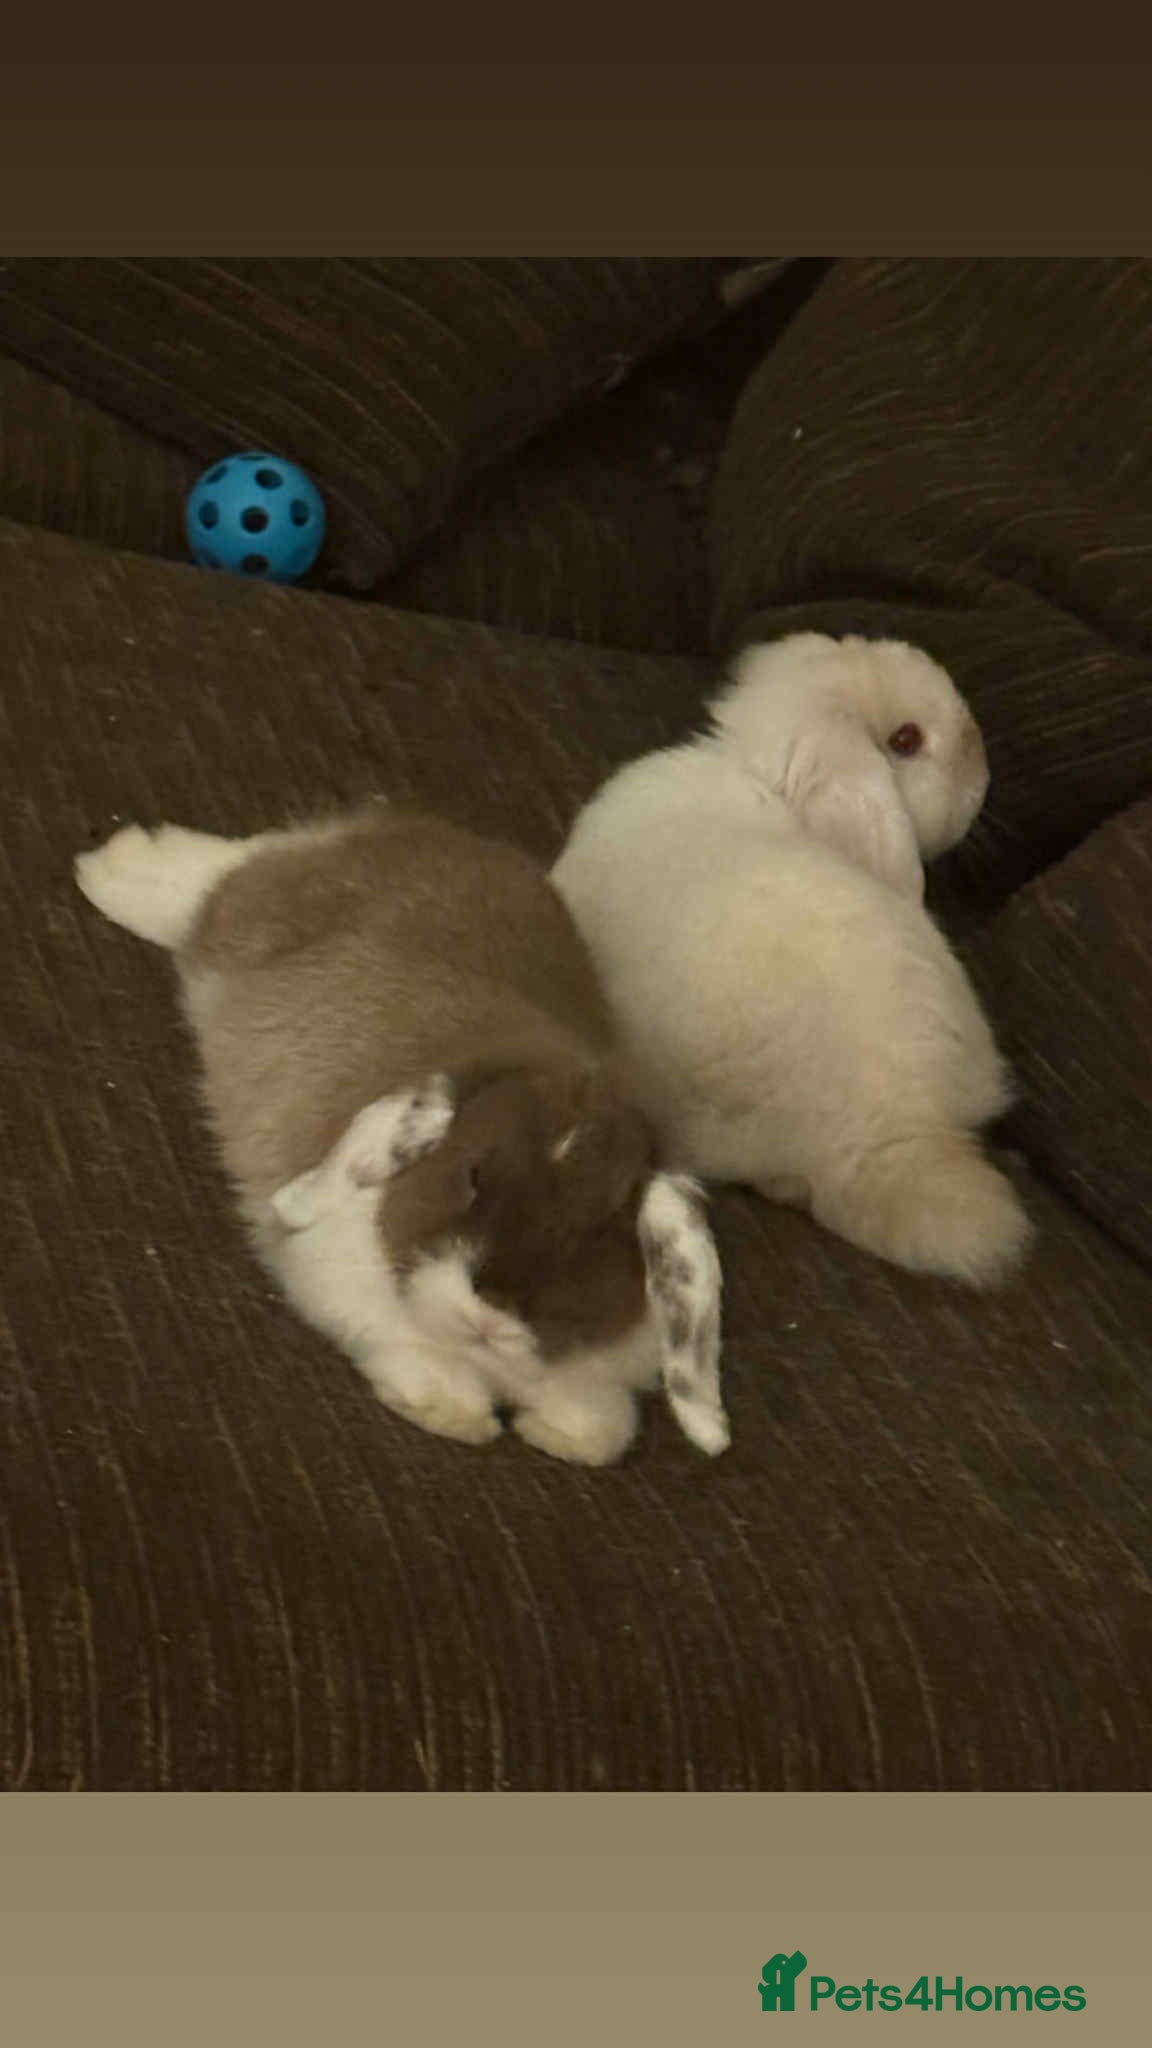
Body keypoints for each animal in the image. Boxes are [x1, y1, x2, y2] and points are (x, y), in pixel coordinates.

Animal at [74, 802, 730, 1468]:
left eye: (601, 1229)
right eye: (471, 1174)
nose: (488, 1314)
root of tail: (372, 834)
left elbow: (602, 1424)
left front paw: (564, 1435)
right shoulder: (340, 1285)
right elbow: (417, 1355)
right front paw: (452, 1412)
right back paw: (116, 869)